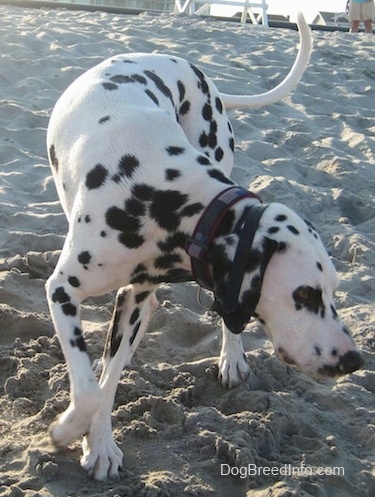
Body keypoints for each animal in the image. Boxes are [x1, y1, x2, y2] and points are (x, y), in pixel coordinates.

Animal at [45, 13, 362, 480]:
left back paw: (231, 357)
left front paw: (98, 443)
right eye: (304, 295)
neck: (169, 198)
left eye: (335, 291)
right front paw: (71, 430)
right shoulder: (63, 290)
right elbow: (88, 389)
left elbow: (107, 382)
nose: (353, 360)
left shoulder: (134, 298)